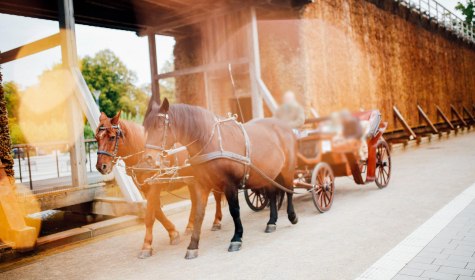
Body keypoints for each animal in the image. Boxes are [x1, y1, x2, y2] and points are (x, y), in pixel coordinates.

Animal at [95, 111, 225, 258]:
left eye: (112, 137)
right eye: (96, 138)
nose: (101, 166)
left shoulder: (154, 186)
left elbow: (150, 216)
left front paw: (146, 245)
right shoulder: (145, 188)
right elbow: (156, 211)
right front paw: (173, 233)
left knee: (217, 196)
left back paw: (217, 221)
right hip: (191, 179)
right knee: (195, 200)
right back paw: (191, 226)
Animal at [143, 97, 300, 260]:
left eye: (160, 126)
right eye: (146, 127)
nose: (148, 158)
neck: (210, 141)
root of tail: (285, 127)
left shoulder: (230, 185)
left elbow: (234, 210)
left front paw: (237, 238)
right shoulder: (202, 185)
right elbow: (199, 213)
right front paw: (193, 245)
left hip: (287, 170)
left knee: (289, 190)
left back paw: (292, 216)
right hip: (268, 174)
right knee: (272, 194)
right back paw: (272, 222)